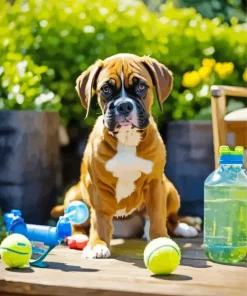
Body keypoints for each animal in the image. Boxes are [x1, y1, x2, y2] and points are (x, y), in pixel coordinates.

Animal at [51, 53, 199, 260]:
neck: (127, 139)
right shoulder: (97, 187)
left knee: (169, 218)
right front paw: (98, 244)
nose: (124, 105)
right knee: (78, 222)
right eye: (105, 89)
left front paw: (160, 239)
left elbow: (157, 214)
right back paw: (80, 237)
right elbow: (99, 219)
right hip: (74, 195)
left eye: (141, 86)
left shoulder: (155, 184)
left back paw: (182, 228)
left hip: (170, 190)